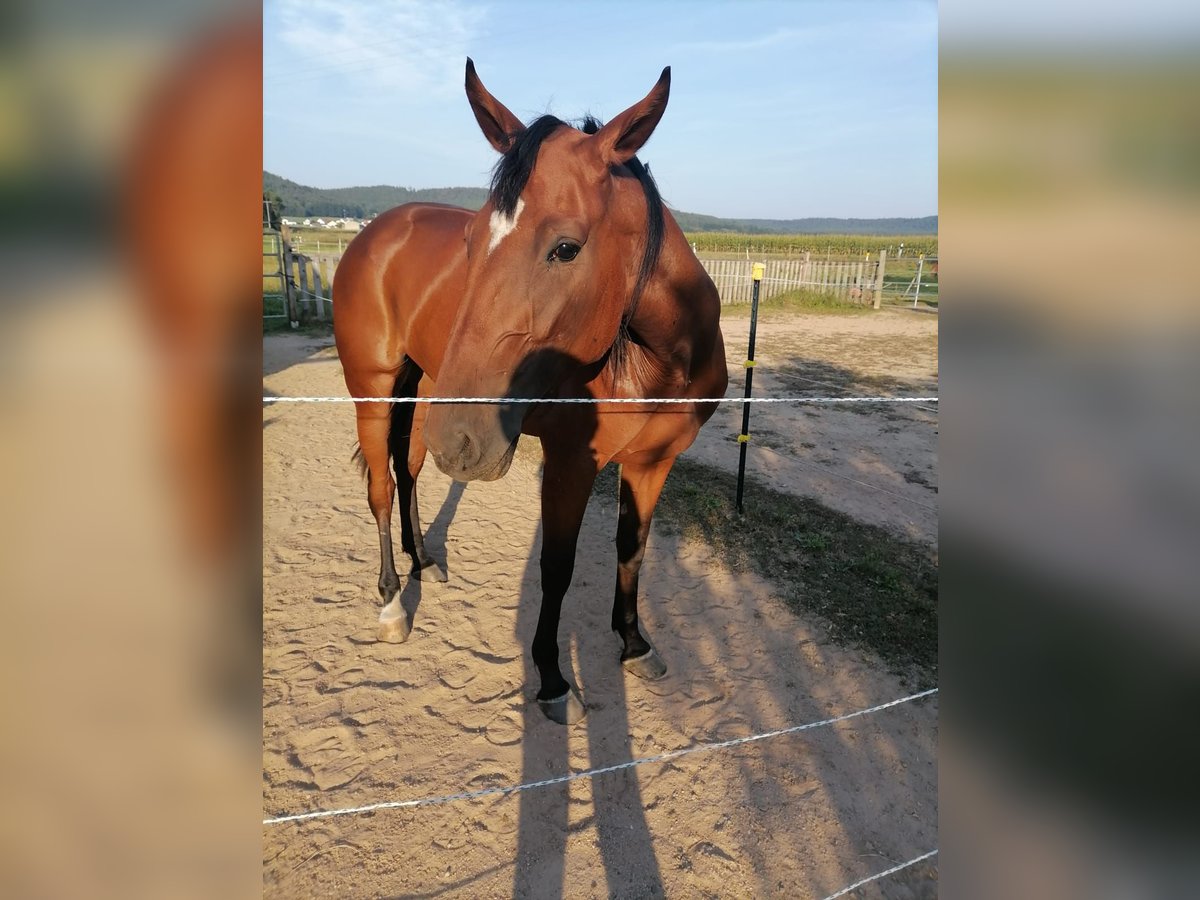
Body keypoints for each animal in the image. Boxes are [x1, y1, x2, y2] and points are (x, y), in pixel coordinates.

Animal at [333, 60, 724, 724]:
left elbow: (633, 549)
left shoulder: (653, 462)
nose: (466, 441)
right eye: (469, 242)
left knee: (409, 469)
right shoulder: (570, 463)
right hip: (376, 391)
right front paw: (550, 675)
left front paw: (634, 642)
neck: (661, 360)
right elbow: (557, 568)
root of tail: (374, 232)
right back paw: (390, 602)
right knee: (380, 488)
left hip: (426, 389)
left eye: (565, 248)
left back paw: (423, 560)